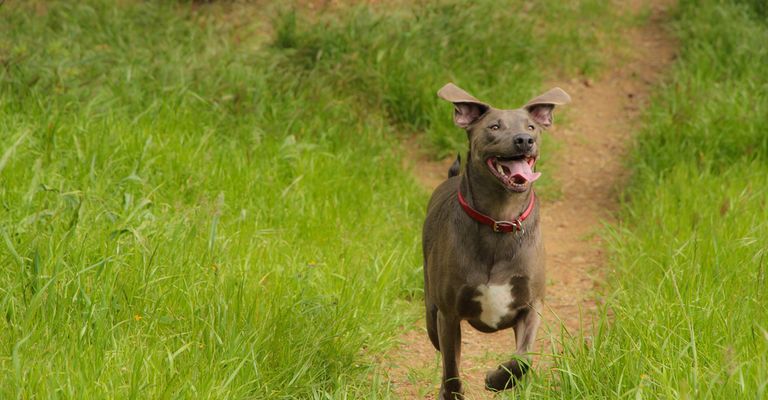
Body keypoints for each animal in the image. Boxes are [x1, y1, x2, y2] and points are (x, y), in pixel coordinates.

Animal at [420, 83, 568, 398]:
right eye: (494, 126)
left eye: (531, 126)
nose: (524, 140)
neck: (500, 221)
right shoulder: (448, 314)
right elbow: (452, 368)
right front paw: (453, 393)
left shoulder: (531, 306)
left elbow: (522, 360)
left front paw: (497, 379)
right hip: (431, 312)